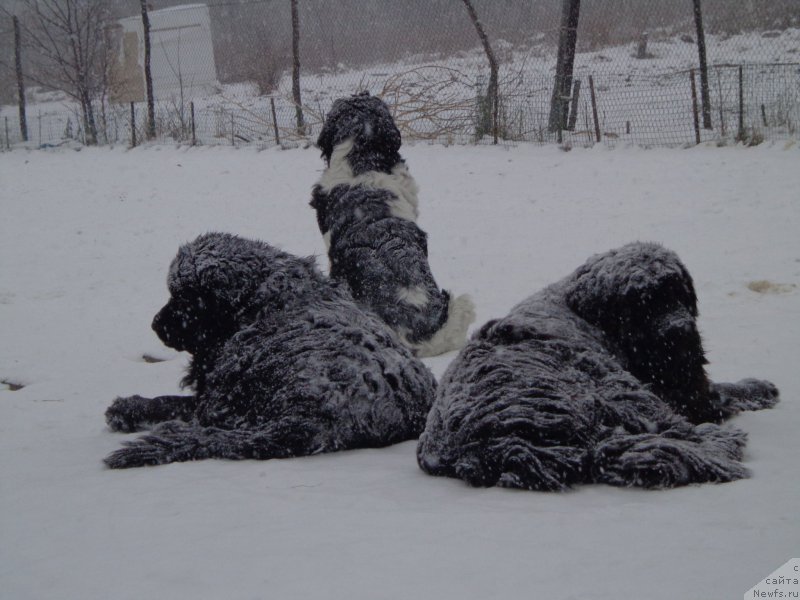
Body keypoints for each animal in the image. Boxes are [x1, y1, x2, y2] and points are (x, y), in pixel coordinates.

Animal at [104, 233, 438, 468]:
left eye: (184, 298)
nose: (155, 324)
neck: (262, 299)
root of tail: (309, 423)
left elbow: (172, 402)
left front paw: (130, 407)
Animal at [416, 241, 780, 490]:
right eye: (644, 303)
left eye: (678, 292)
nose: (680, 332)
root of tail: (490, 443)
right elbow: (720, 393)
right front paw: (759, 387)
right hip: (619, 390)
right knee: (678, 430)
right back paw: (718, 442)